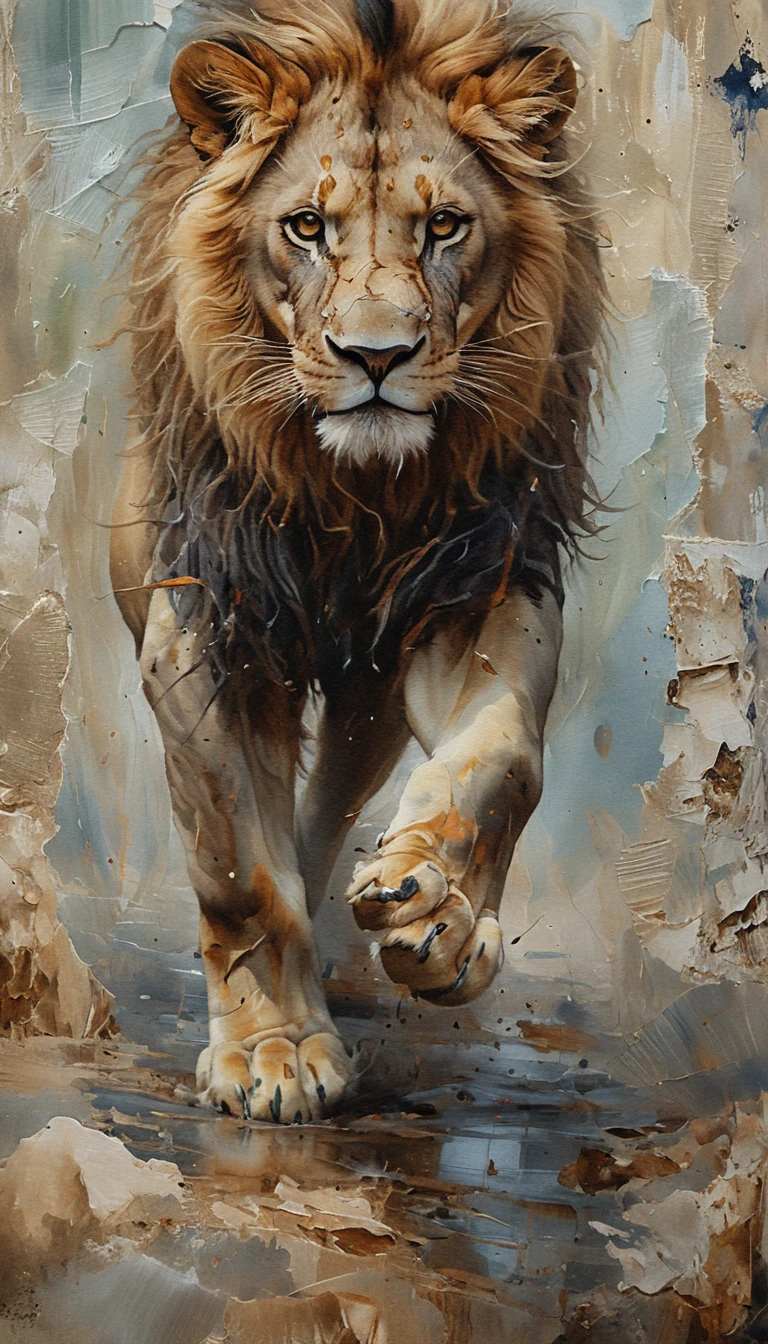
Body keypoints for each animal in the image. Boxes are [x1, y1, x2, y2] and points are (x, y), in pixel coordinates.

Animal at [109, 0, 602, 1123]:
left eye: (445, 226)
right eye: (306, 226)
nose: (376, 358)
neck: (356, 502)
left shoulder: (476, 590)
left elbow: (505, 755)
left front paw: (434, 913)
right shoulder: (201, 629)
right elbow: (238, 873)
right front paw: (275, 1053)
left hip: (369, 706)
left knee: (328, 811)